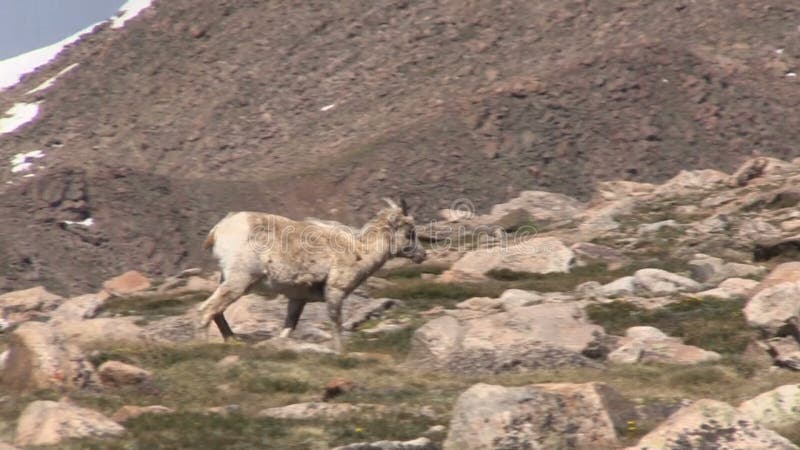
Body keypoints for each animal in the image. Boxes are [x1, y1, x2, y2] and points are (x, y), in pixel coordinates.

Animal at [198, 200, 428, 352]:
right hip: (240, 279)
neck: (360, 251)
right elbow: (336, 323)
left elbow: (289, 327)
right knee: (207, 309)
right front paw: (340, 352)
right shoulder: (335, 291)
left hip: (228, 279)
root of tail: (218, 231)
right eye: (409, 232)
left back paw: (233, 341)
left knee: (217, 311)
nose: (423, 255)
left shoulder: (297, 299)